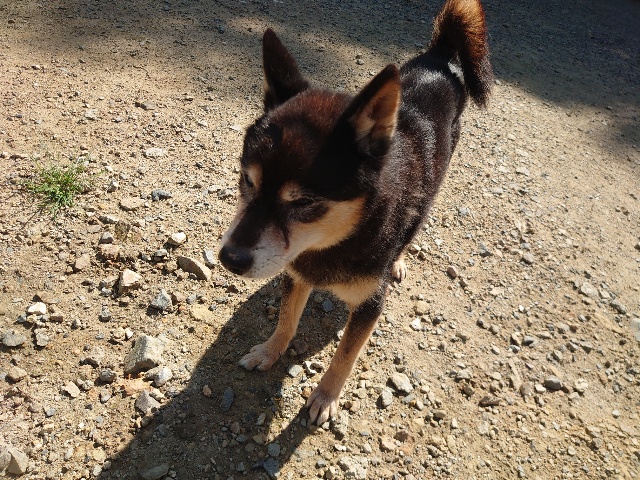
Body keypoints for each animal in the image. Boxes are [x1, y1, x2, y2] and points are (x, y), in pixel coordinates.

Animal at [218, 0, 492, 425]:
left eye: (303, 202)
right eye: (247, 180)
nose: (229, 258)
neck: (334, 241)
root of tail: (440, 58)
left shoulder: (369, 305)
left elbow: (345, 356)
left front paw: (325, 397)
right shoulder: (296, 273)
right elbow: (286, 320)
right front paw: (268, 351)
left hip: (435, 182)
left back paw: (398, 260)